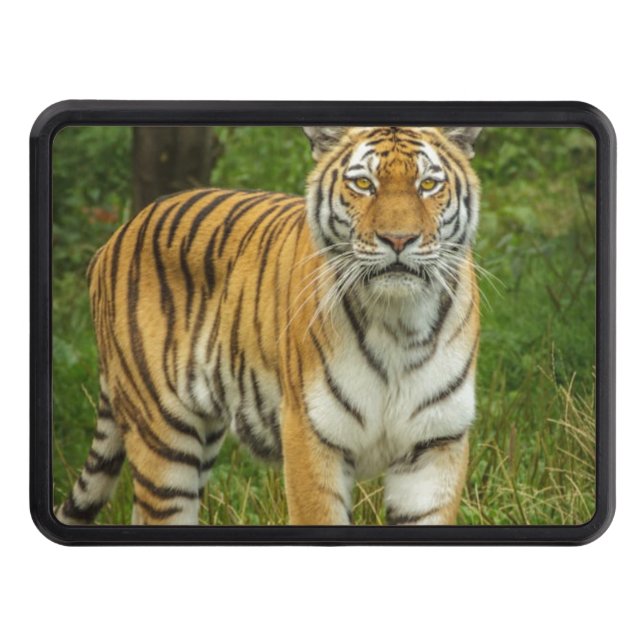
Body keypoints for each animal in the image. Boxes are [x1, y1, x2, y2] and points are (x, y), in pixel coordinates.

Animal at [56, 125, 482, 526]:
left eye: (428, 184)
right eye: (363, 184)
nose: (398, 240)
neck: (400, 323)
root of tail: (118, 234)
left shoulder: (435, 445)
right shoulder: (309, 435)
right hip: (163, 440)